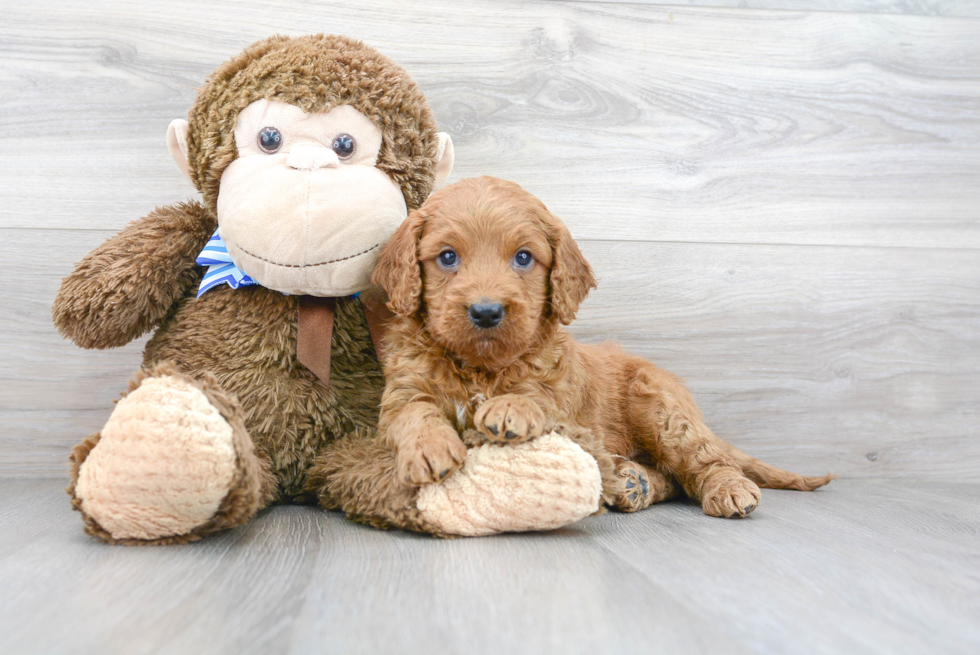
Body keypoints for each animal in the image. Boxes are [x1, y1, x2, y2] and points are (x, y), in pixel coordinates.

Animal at [372, 177, 832, 520]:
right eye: (448, 257)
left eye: (523, 258)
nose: (486, 312)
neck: (481, 366)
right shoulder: (403, 388)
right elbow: (414, 411)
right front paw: (429, 447)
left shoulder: (558, 392)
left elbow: (536, 396)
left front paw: (511, 407)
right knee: (672, 478)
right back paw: (634, 482)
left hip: (663, 411)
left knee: (704, 462)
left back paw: (728, 489)